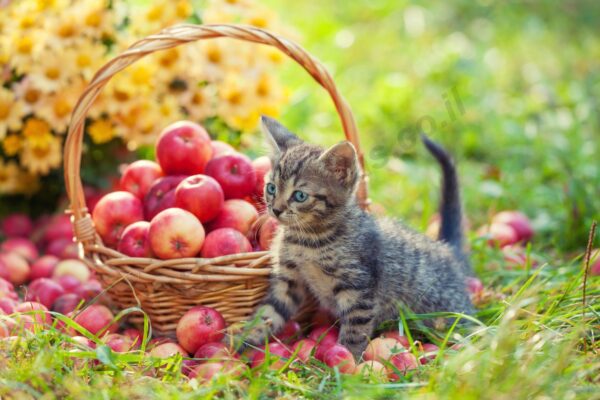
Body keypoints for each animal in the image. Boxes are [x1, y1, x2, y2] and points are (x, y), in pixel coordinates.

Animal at [241, 115, 476, 356]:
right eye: (271, 188)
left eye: (299, 196)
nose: (275, 209)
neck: (307, 240)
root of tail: (447, 249)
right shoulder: (288, 281)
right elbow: (267, 314)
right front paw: (241, 344)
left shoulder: (359, 288)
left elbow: (355, 330)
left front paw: (349, 359)